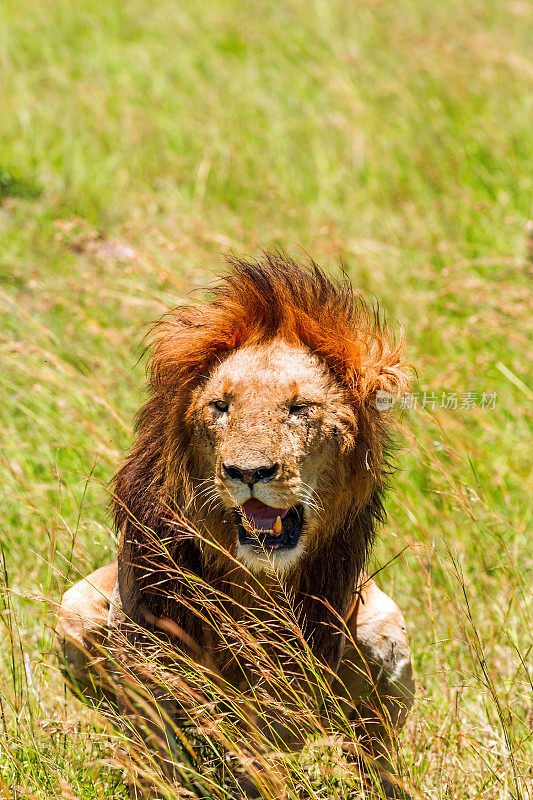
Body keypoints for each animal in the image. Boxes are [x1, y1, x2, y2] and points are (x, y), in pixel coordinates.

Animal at [56, 256, 414, 800]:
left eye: (299, 408)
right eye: (220, 406)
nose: (248, 472)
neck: (253, 579)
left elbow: (260, 744)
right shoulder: (147, 642)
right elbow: (158, 747)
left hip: (385, 637)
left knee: (374, 758)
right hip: (73, 607)